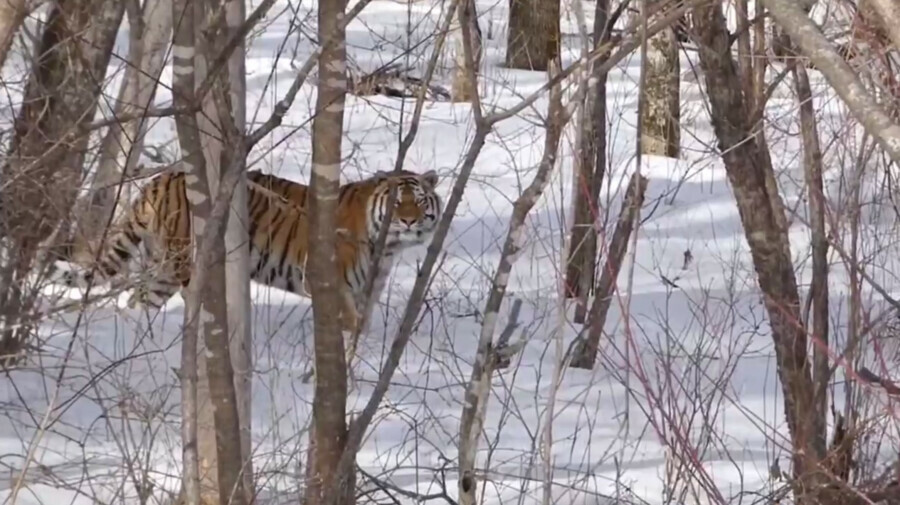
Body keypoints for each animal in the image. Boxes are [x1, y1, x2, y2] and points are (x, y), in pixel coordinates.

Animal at [51, 167, 442, 332]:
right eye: (398, 203)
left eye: (420, 201)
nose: (409, 221)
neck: (387, 247)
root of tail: (157, 180)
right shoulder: (328, 280)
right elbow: (349, 323)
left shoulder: (366, 290)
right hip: (181, 262)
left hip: (161, 268)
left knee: (137, 302)